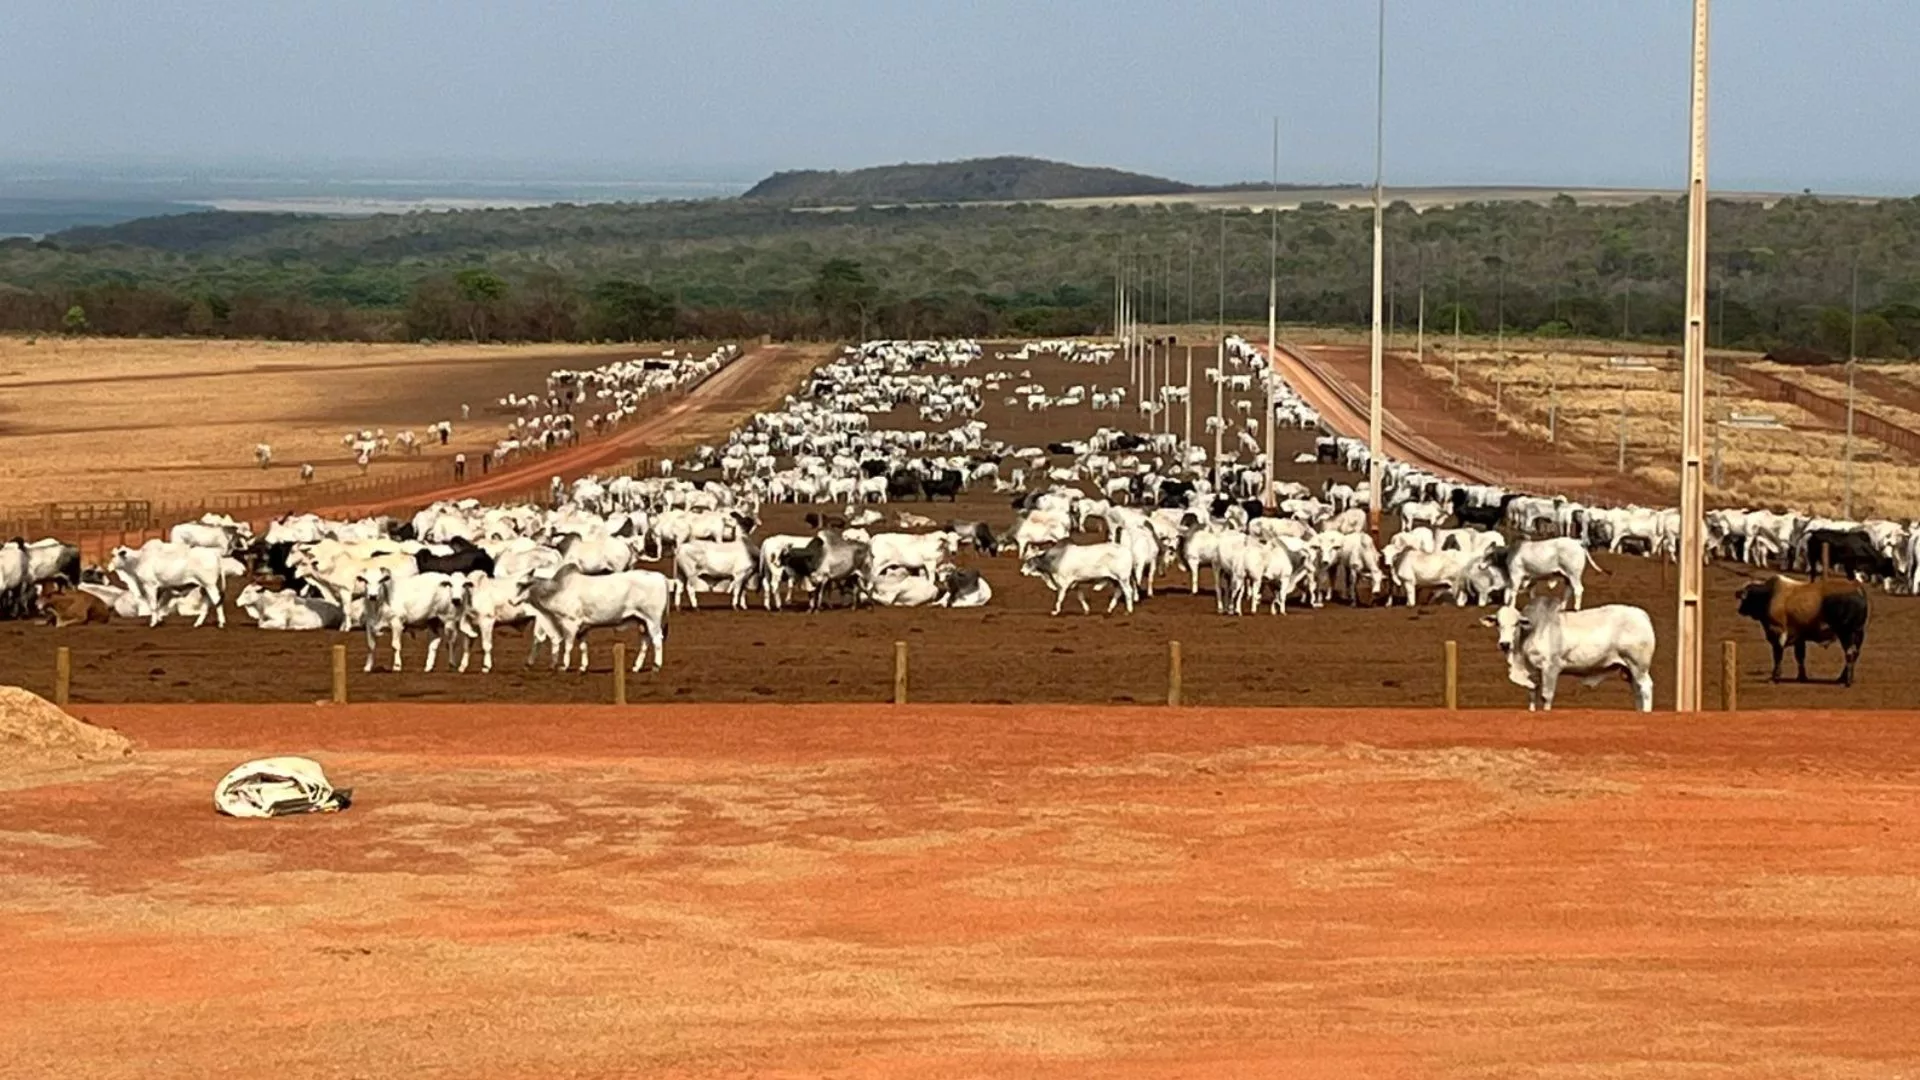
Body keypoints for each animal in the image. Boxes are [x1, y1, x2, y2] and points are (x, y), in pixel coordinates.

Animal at [1735, 572, 1866, 680]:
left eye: (1745, 599)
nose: (1740, 610)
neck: (1769, 595)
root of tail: (1856, 587)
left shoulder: (1777, 631)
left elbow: (1778, 654)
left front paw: (1775, 675)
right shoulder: (1799, 636)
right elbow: (1800, 657)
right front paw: (1801, 676)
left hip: (1846, 633)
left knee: (1850, 653)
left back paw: (1846, 680)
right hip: (1858, 633)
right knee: (1855, 653)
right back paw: (1842, 677)